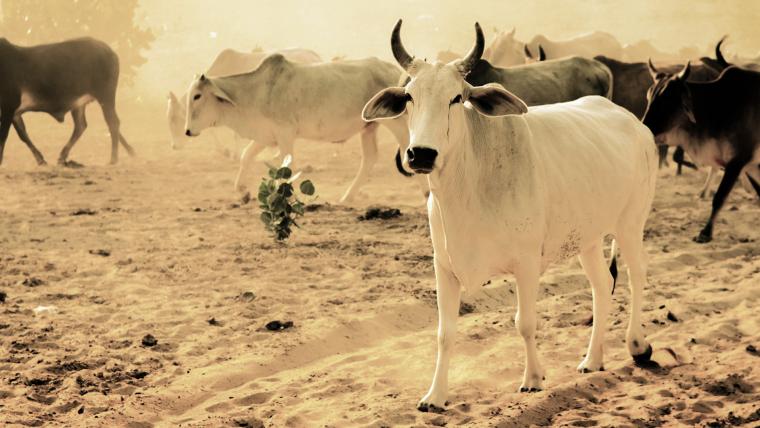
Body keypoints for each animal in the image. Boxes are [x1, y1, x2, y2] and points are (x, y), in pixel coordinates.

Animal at [0, 37, 133, 166]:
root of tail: (109, 51)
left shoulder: (9, 106)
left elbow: (3, 136)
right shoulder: (14, 112)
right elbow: (22, 134)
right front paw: (40, 159)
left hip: (105, 96)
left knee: (113, 122)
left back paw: (113, 158)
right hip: (79, 104)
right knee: (81, 125)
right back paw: (63, 156)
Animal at [183, 54, 409, 203]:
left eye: (197, 96)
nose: (187, 131)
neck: (256, 92)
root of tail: (397, 72)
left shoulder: (285, 134)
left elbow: (286, 167)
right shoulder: (266, 136)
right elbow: (246, 156)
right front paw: (242, 191)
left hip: (395, 122)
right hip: (368, 128)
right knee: (369, 158)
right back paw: (347, 197)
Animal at [363, 20, 657, 412]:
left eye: (456, 97)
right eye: (409, 97)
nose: (421, 154)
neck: (468, 190)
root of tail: (634, 122)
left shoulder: (527, 264)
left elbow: (525, 323)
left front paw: (533, 379)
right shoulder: (444, 266)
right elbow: (444, 333)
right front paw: (435, 395)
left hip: (630, 224)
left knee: (637, 275)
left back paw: (637, 344)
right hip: (589, 239)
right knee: (602, 287)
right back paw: (592, 359)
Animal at [642, 61, 760, 243]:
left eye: (667, 98)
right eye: (650, 96)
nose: (644, 127)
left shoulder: (737, 162)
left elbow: (719, 197)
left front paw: (705, 233)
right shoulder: (750, 166)